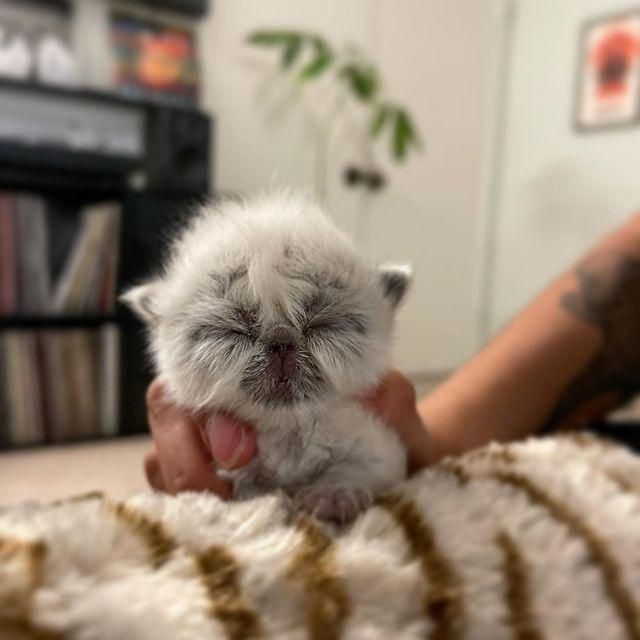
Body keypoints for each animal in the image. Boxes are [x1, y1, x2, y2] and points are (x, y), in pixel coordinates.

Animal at [123, 192, 412, 524]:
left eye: (322, 324)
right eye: (232, 330)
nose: (281, 342)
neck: (288, 434)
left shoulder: (383, 449)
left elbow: (356, 467)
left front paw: (333, 495)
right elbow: (245, 483)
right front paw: (264, 498)